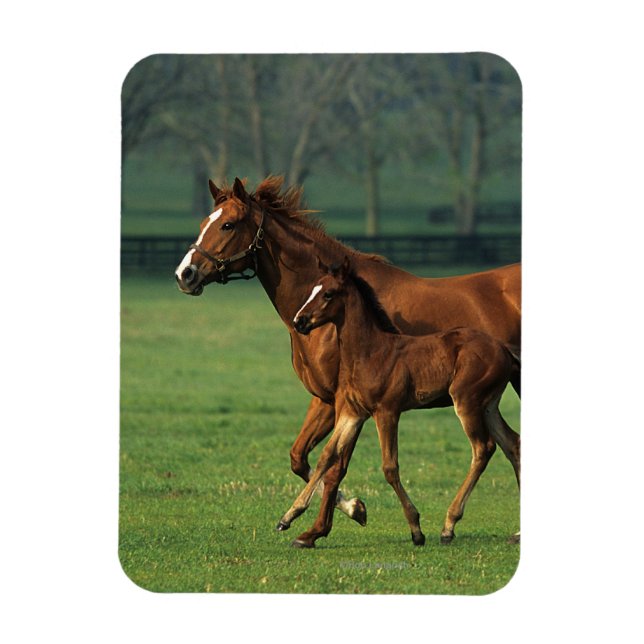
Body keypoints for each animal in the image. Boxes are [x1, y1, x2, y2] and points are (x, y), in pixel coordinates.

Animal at [276, 256, 520, 547]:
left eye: (328, 294)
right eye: (313, 288)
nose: (299, 321)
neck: (370, 351)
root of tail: (503, 348)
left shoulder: (387, 411)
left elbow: (389, 467)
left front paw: (416, 529)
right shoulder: (352, 413)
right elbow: (327, 456)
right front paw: (289, 518)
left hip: (467, 402)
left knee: (483, 448)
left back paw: (448, 526)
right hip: (488, 405)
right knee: (512, 443)